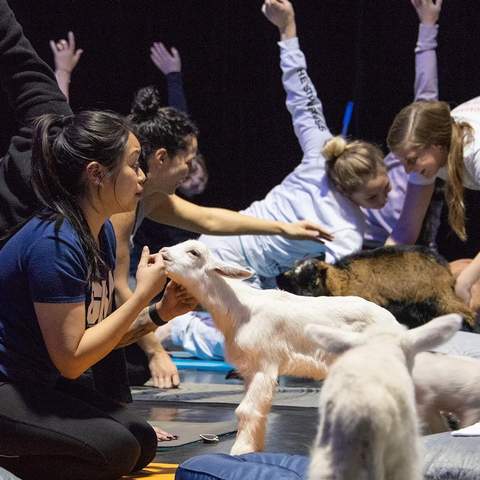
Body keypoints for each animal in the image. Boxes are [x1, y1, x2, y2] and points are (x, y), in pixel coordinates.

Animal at [160, 240, 398, 454]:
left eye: (194, 252)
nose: (163, 253)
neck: (240, 308)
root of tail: (394, 323)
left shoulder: (264, 365)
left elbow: (246, 409)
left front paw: (239, 450)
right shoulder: (249, 370)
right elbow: (257, 409)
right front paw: (253, 448)